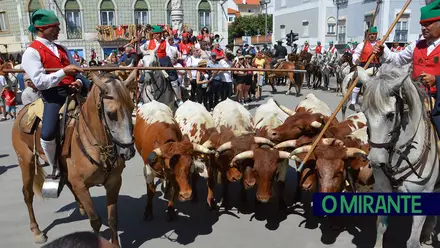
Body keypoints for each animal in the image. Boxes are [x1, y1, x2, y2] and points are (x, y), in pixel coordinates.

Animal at [11, 69, 138, 247]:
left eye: (132, 107)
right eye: (111, 114)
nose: (128, 152)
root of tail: (23, 111)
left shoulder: (114, 182)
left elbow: (113, 218)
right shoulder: (81, 186)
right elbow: (95, 220)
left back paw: (80, 207)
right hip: (26, 162)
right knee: (28, 194)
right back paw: (37, 231)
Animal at [362, 63, 438, 247]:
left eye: (390, 115)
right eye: (365, 114)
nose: (375, 161)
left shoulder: (423, 196)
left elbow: (412, 241)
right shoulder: (383, 189)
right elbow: (381, 227)